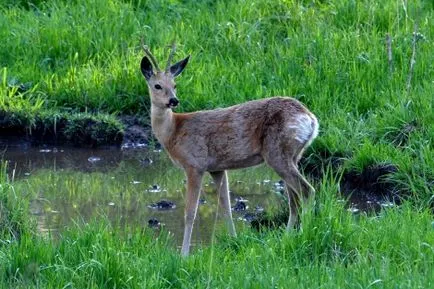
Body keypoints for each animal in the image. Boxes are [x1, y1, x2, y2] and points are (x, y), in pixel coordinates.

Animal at [140, 44, 318, 255]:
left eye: (174, 85)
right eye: (157, 85)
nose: (173, 100)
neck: (173, 130)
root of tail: (311, 119)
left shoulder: (195, 165)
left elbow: (190, 212)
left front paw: (183, 254)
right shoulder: (217, 168)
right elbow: (226, 207)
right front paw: (234, 241)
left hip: (277, 153)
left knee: (306, 191)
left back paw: (304, 234)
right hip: (294, 155)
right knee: (294, 200)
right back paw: (287, 237)